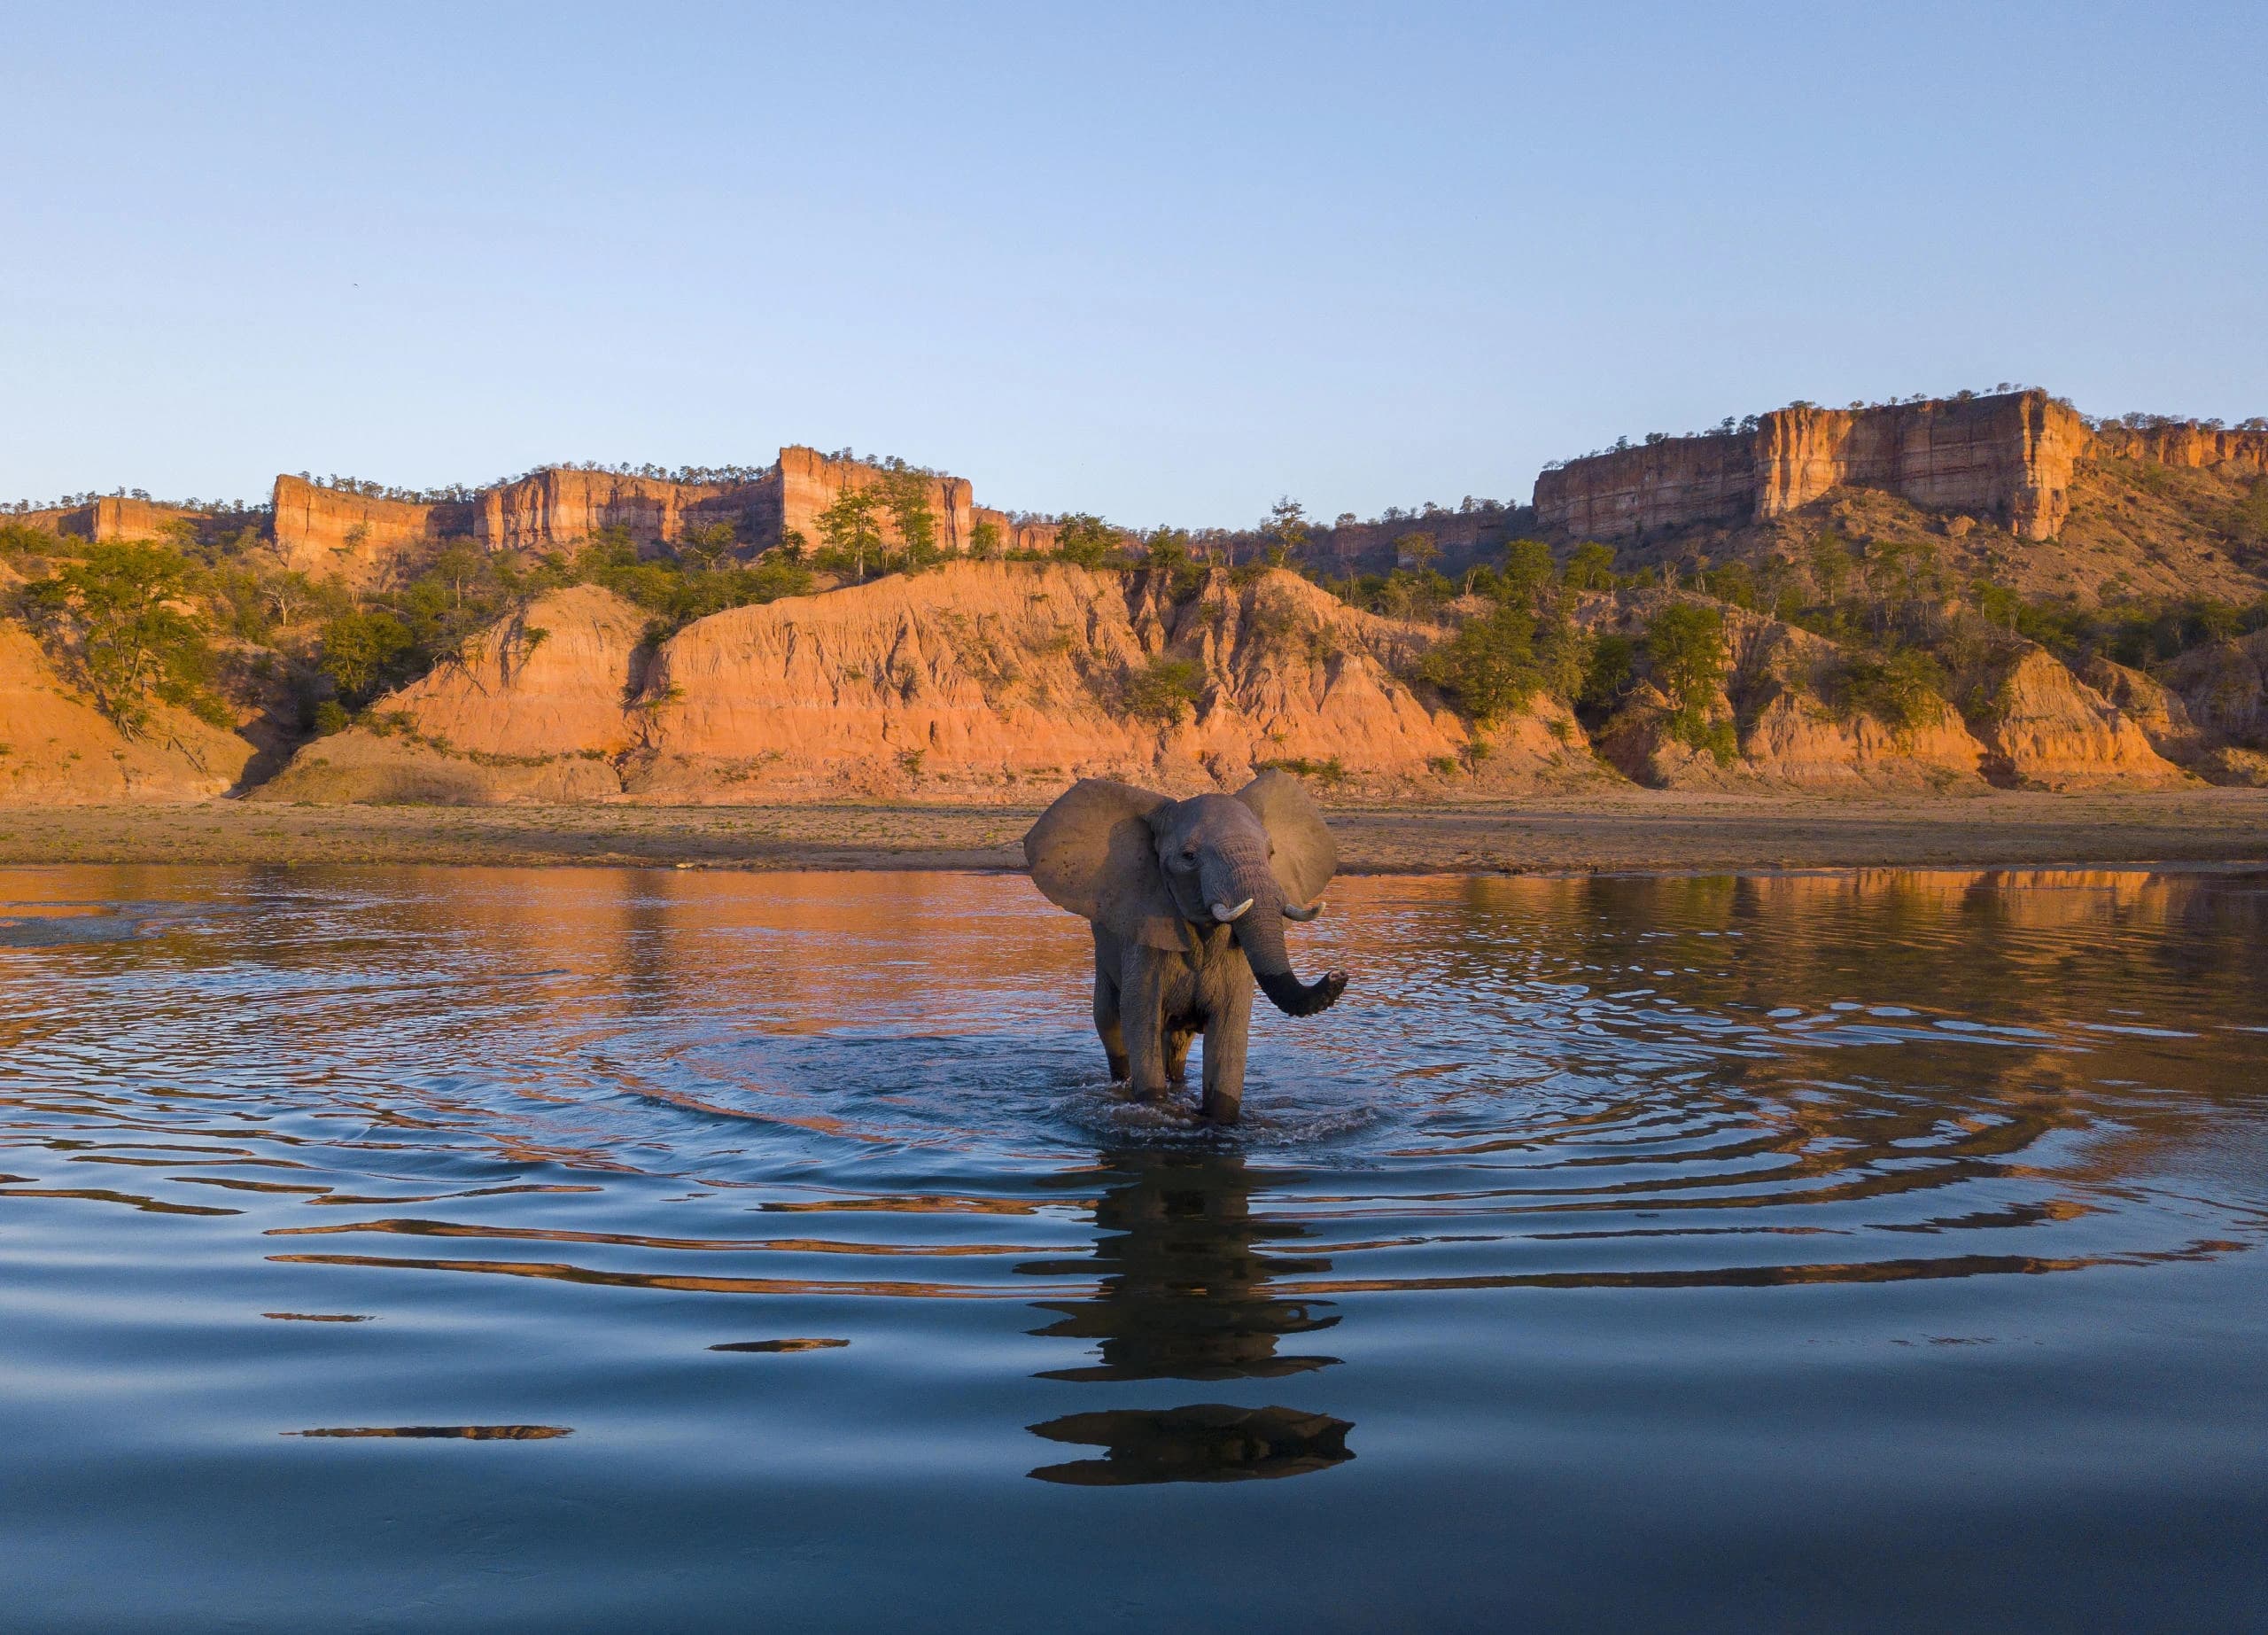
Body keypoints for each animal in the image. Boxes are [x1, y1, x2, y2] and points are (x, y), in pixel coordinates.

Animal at [1024, 771, 1347, 1122]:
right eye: (1189, 857)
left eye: (1271, 854)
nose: (1337, 975)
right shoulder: (1143, 943)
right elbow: (1141, 1023)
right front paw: (1155, 1109)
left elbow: (1229, 1035)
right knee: (1110, 1023)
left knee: (1178, 1043)